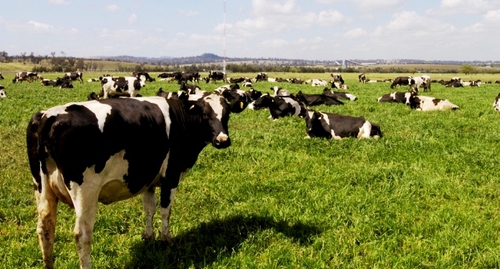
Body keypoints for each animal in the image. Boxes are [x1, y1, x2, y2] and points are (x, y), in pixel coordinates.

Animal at [25, 92, 248, 268]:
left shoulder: (147, 177)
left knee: (45, 228)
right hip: (85, 191)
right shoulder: (171, 175)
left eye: (226, 114)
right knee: (82, 234)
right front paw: (165, 240)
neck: (181, 119)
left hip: (42, 188)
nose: (222, 140)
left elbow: (149, 208)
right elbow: (165, 210)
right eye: (205, 115)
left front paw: (149, 237)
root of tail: (49, 115)